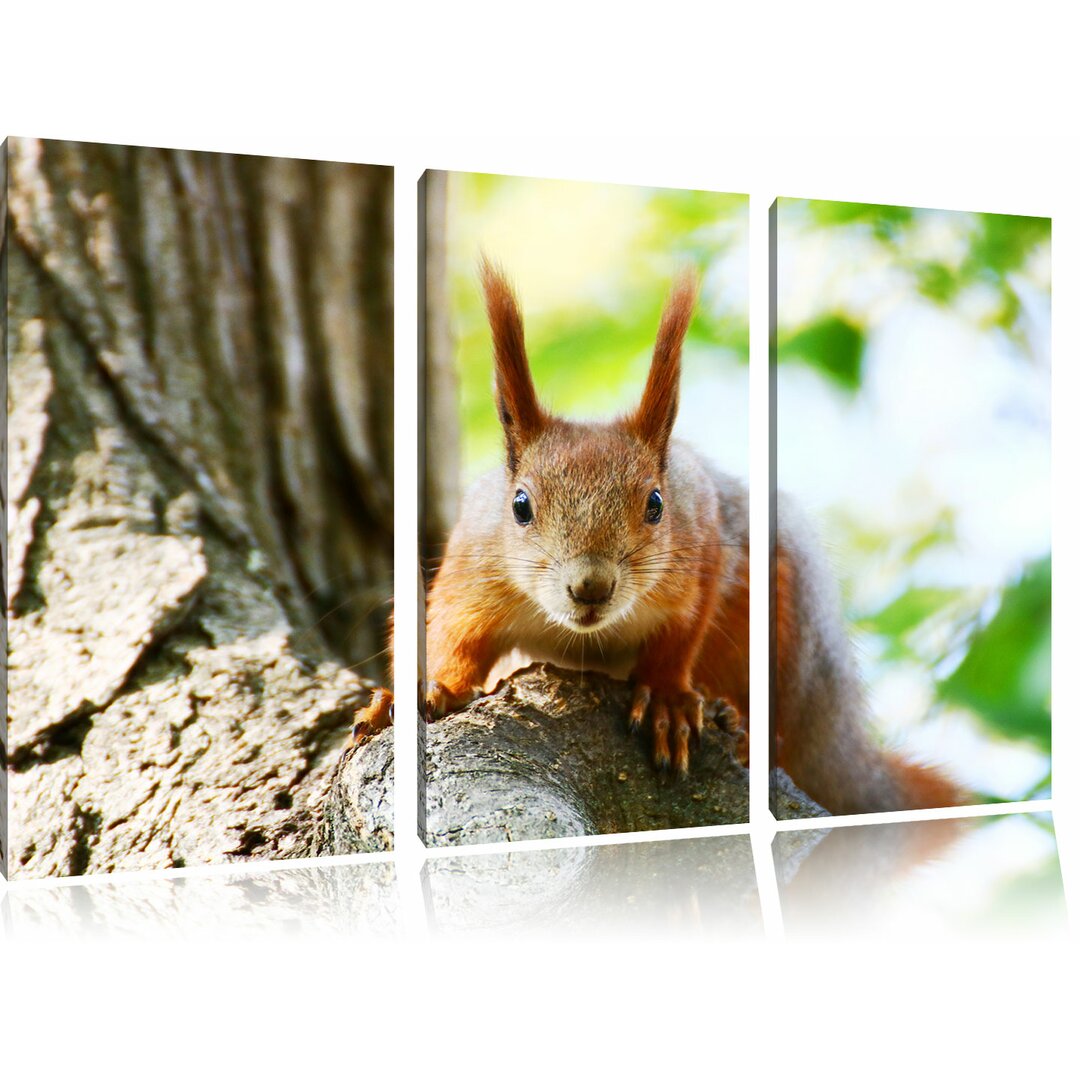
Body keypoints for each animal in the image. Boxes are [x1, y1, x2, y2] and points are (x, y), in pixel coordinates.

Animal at [416, 263, 967, 816]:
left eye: (657, 504)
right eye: (520, 506)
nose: (591, 587)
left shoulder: (701, 546)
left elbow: (681, 632)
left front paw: (666, 698)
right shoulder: (473, 568)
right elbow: (450, 635)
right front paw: (433, 688)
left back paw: (748, 734)